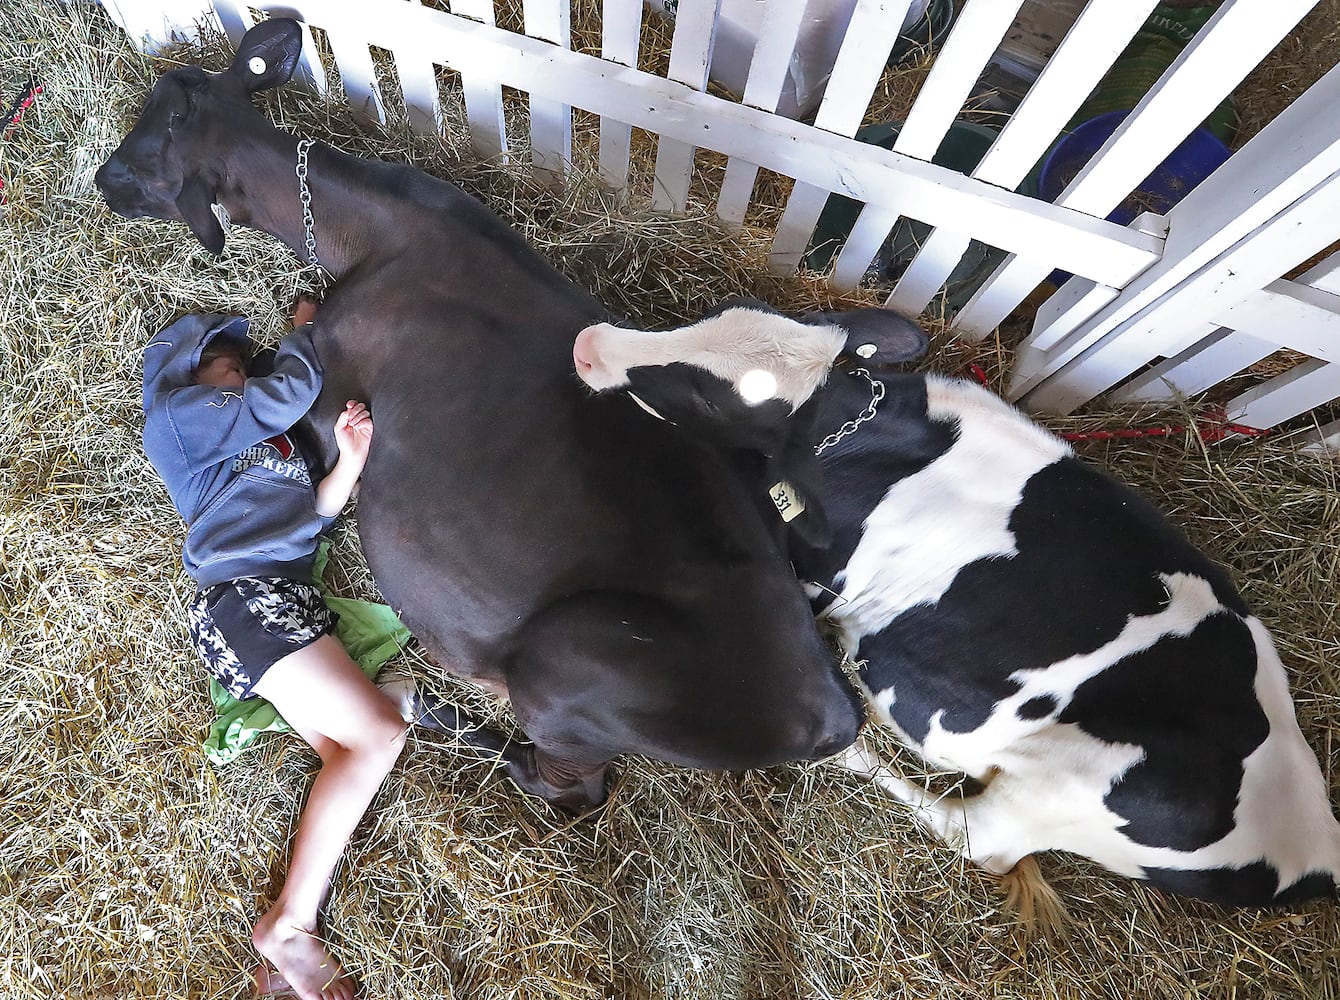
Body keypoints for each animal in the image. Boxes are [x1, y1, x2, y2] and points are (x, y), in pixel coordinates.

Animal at [573, 297, 1340, 911]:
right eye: (713, 314)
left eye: (711, 398)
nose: (590, 342)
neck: (864, 434)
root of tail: (1313, 851)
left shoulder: (821, 573)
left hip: (1058, 789)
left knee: (979, 838)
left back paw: (858, 758)